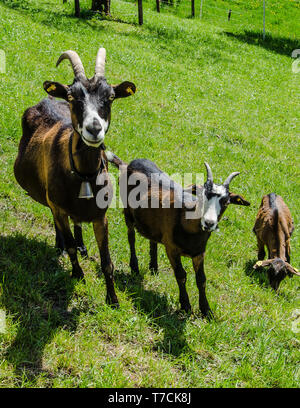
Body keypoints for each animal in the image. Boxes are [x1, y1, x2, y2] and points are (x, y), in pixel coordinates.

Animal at [14, 47, 136, 306]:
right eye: (72, 96)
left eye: (111, 96)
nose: (94, 128)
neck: (84, 175)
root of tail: (47, 99)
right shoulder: (57, 205)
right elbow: (68, 242)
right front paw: (77, 273)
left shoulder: (101, 217)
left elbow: (107, 262)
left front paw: (113, 299)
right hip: (51, 200)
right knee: (61, 225)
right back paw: (62, 245)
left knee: (77, 223)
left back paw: (82, 245)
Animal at [106, 153, 250, 318]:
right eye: (202, 196)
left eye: (226, 202)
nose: (209, 223)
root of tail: (126, 164)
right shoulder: (171, 248)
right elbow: (181, 275)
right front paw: (186, 306)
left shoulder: (199, 252)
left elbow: (201, 279)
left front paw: (206, 310)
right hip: (128, 213)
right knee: (131, 238)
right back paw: (134, 267)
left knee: (152, 239)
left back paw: (154, 267)